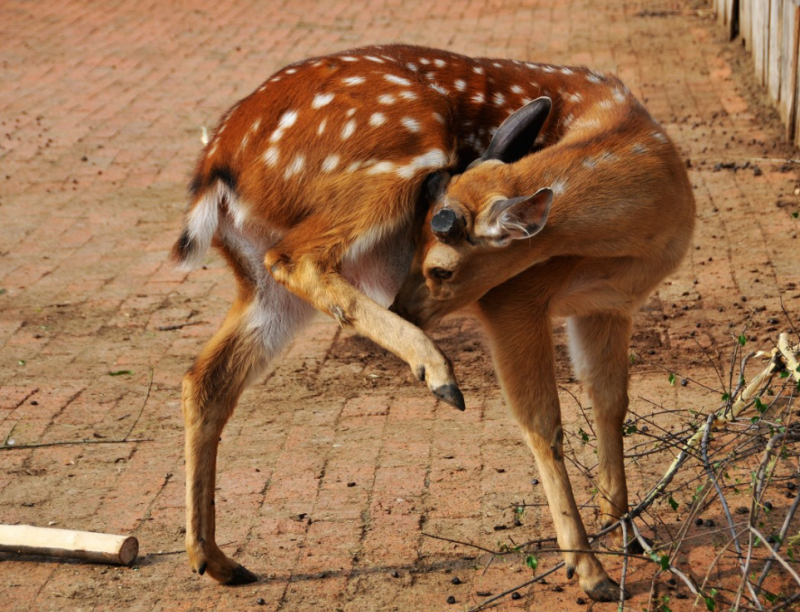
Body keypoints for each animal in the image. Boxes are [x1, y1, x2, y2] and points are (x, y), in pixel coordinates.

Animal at [171, 43, 694, 603]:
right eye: (415, 246)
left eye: (438, 264)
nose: (403, 306)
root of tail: (214, 168)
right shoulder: (514, 297)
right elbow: (542, 422)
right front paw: (590, 571)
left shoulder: (608, 306)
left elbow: (610, 404)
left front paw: (626, 535)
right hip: (404, 149)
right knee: (295, 257)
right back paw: (438, 372)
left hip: (259, 281)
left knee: (206, 377)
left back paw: (217, 561)